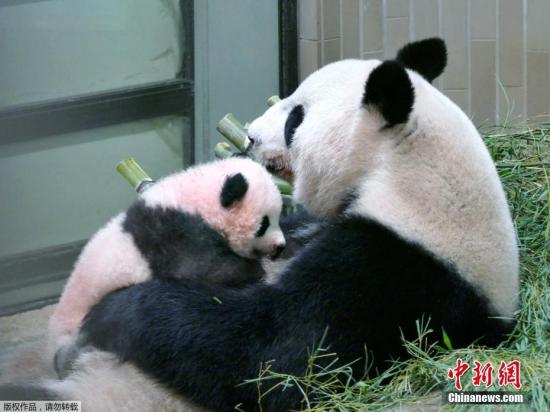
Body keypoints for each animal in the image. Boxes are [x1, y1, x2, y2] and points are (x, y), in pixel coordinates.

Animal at [2, 37, 520, 410]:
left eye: (296, 118)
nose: (249, 135)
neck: (408, 176)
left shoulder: (392, 271)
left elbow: (271, 359)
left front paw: (111, 312)